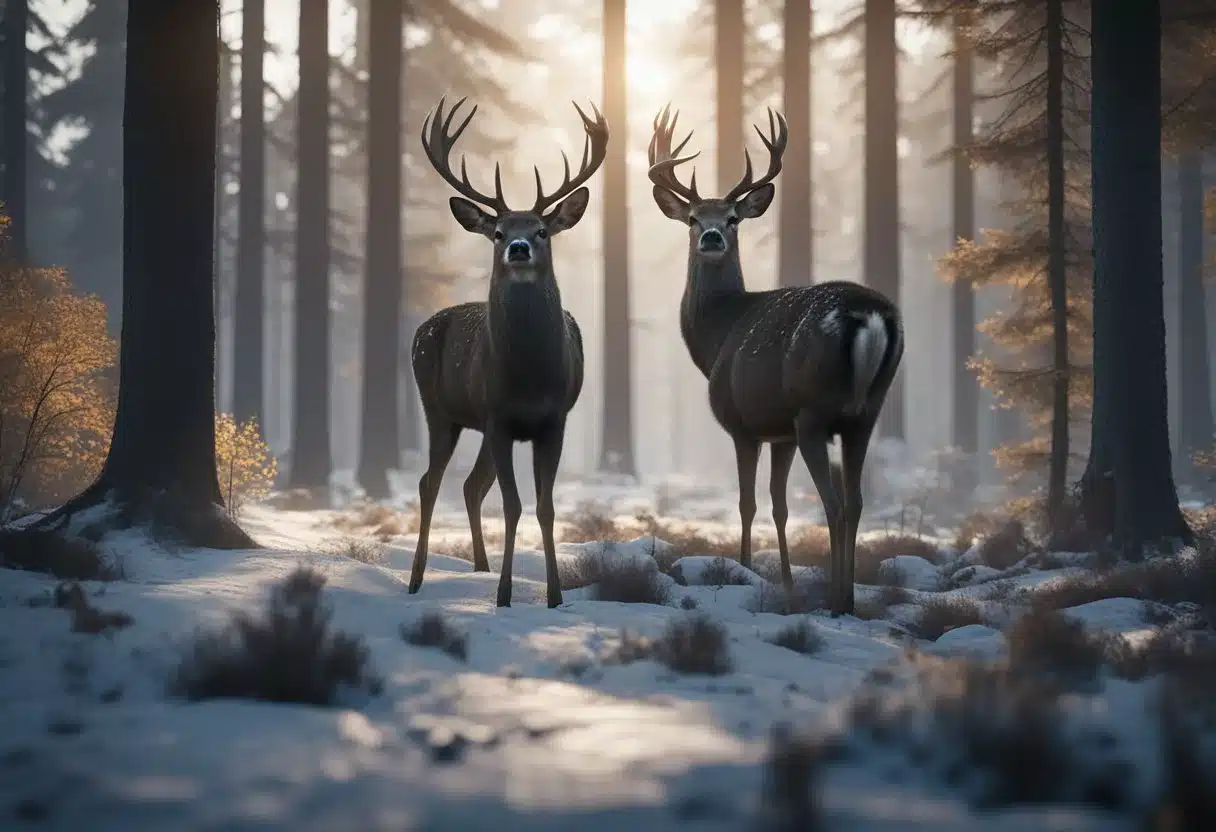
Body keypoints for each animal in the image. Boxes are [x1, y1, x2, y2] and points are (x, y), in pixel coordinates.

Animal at [406, 97, 607, 609]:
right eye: (497, 231)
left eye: (542, 230)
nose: (517, 247)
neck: (530, 376)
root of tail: (421, 329)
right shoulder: (498, 417)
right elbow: (514, 506)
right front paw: (502, 595)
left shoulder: (553, 421)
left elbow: (546, 506)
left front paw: (554, 595)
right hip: (440, 408)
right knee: (430, 482)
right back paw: (416, 579)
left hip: (477, 424)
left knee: (471, 485)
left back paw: (478, 566)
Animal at [646, 105, 904, 616]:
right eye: (692, 217)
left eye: (732, 218)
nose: (711, 237)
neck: (717, 335)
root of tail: (869, 314)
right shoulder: (779, 431)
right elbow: (779, 506)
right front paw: (783, 581)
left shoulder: (742, 423)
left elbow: (747, 503)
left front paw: (745, 570)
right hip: (867, 411)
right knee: (856, 501)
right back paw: (847, 597)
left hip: (814, 410)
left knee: (834, 504)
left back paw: (837, 600)